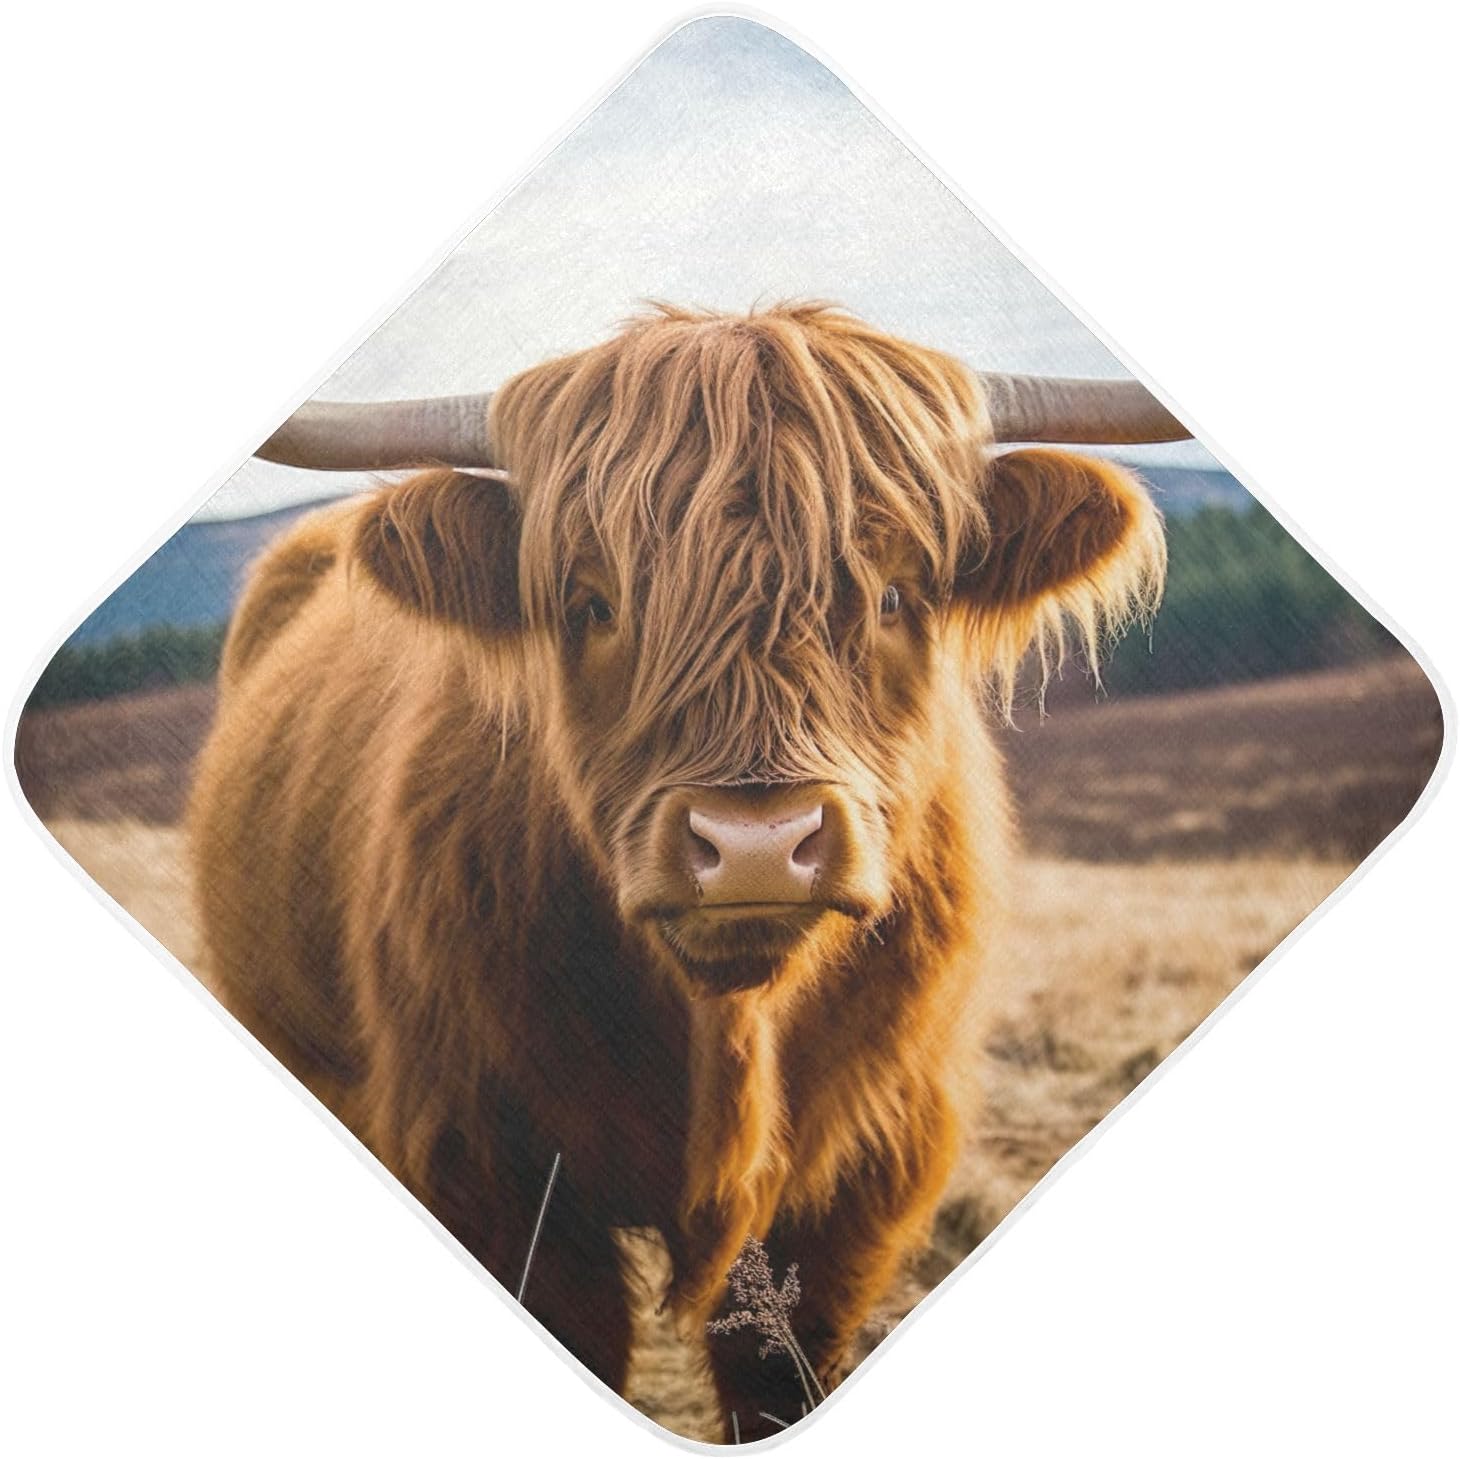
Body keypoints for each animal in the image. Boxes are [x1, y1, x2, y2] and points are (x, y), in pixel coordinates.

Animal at [189, 303, 1177, 1438]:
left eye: (893, 594)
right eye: (591, 604)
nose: (756, 842)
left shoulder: (869, 1169)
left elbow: (778, 1370)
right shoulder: (489, 1160)